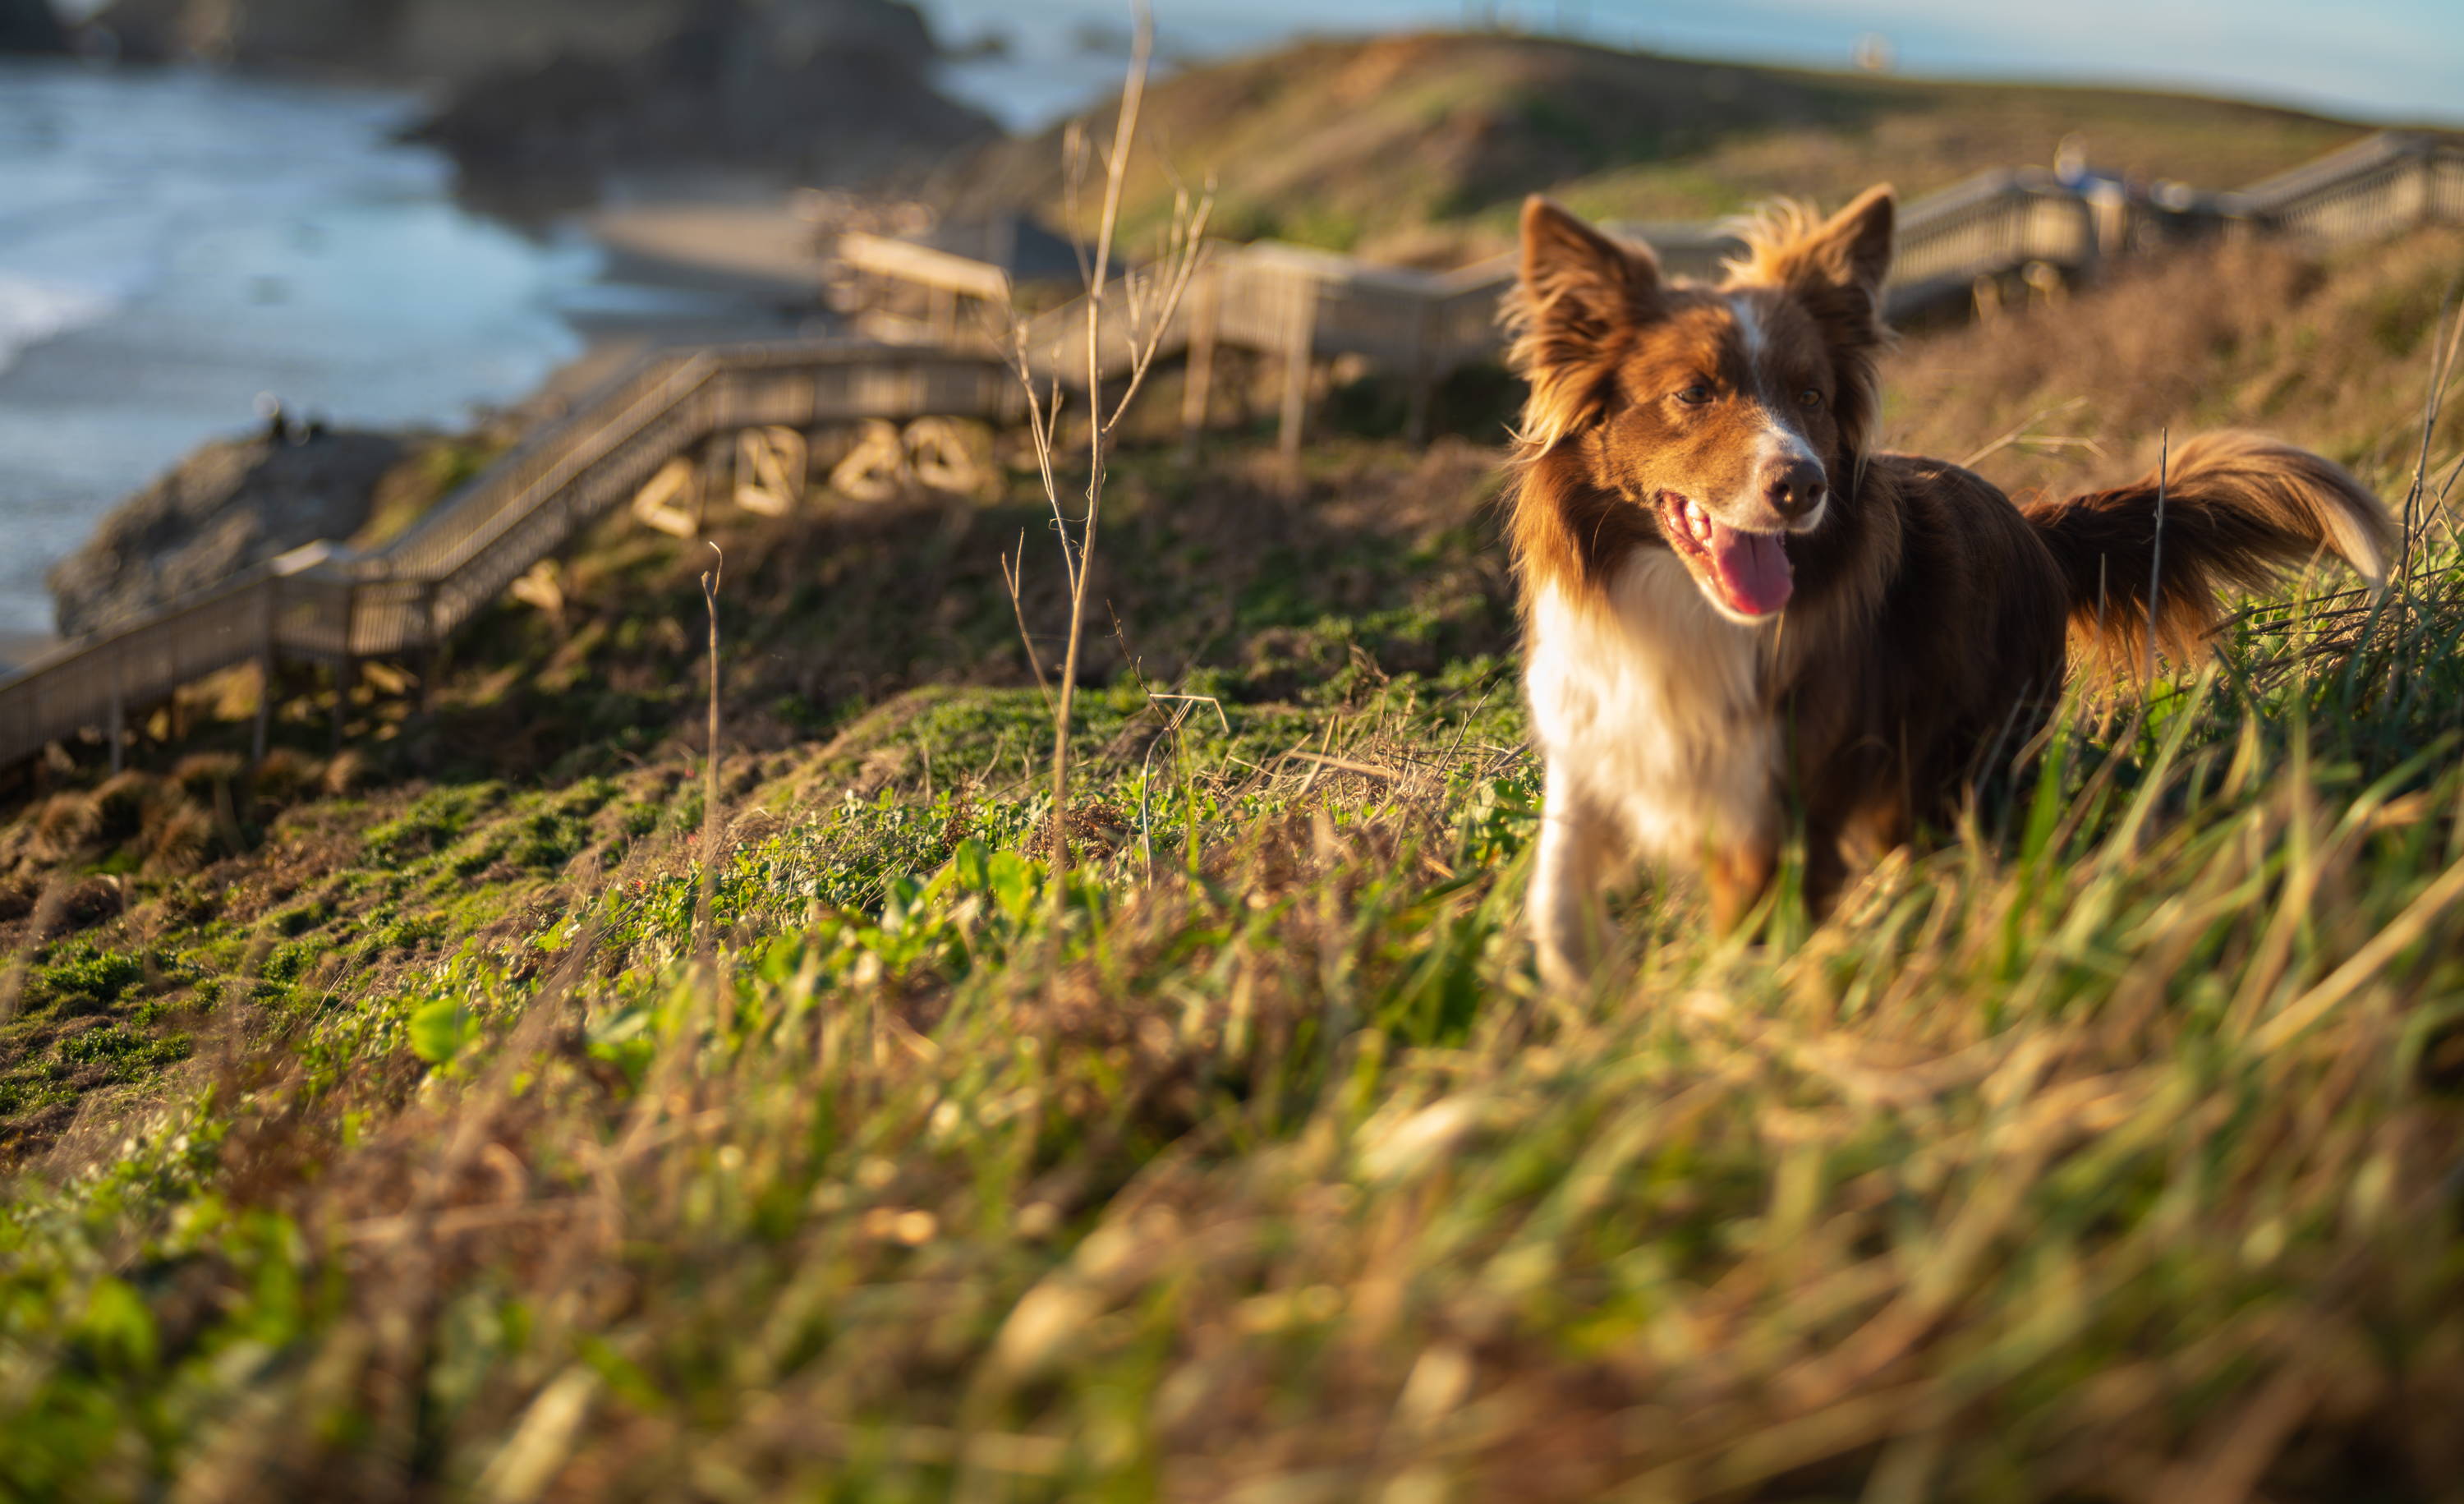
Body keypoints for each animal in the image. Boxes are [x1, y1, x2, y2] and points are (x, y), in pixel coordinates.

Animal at [1508, 185, 2395, 986]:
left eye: (1811, 396)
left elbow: (1748, 939)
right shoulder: (1601, 727)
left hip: (1964, 750)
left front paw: (1719, 1017)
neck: (1687, 607)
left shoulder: (1780, 795)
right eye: (1693, 393)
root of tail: (2034, 523)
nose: (1803, 486)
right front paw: (1587, 987)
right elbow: (1554, 884)